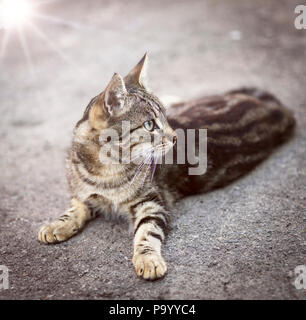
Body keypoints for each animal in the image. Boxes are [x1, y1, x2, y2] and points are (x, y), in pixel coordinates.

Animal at [37, 54, 294, 280]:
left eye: (165, 119)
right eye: (149, 125)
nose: (175, 137)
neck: (106, 169)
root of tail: (273, 110)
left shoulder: (152, 203)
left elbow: (146, 234)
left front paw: (148, 259)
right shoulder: (82, 192)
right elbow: (74, 208)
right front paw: (56, 225)